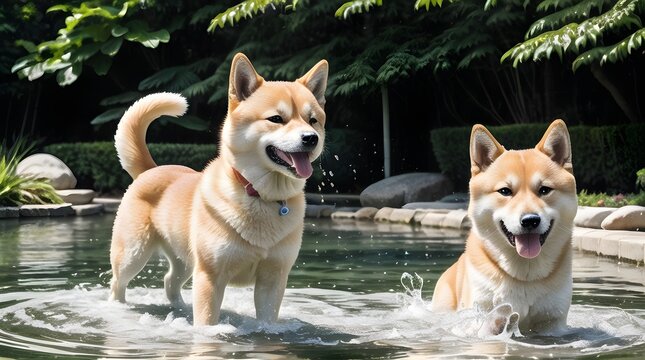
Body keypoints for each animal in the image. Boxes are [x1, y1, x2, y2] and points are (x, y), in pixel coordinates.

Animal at [108, 53, 328, 326]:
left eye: (313, 120)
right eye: (276, 119)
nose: (311, 138)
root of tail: (150, 170)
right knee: (117, 283)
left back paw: (180, 308)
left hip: (184, 258)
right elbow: (206, 322)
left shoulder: (274, 278)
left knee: (170, 281)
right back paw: (117, 308)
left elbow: (267, 320)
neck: (260, 196)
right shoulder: (210, 275)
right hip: (133, 253)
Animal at [430, 120, 576, 334]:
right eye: (505, 191)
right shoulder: (484, 316)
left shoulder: (552, 322)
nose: (530, 220)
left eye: (545, 190)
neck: (525, 277)